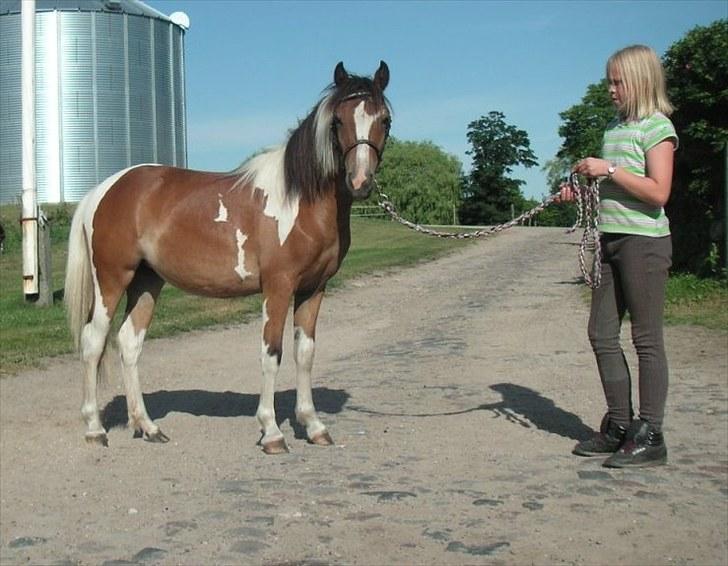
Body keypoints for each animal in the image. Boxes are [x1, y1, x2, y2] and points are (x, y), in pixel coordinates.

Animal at [65, 60, 390, 454]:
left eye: (385, 119)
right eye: (338, 121)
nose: (360, 182)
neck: (299, 200)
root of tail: (103, 190)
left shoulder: (314, 289)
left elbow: (305, 354)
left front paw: (313, 426)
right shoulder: (278, 287)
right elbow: (271, 354)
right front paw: (272, 432)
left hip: (146, 281)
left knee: (129, 342)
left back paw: (148, 426)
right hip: (111, 280)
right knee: (93, 342)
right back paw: (95, 429)